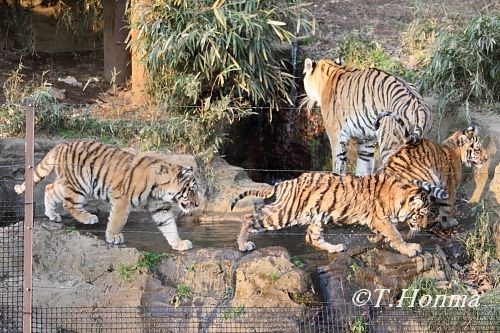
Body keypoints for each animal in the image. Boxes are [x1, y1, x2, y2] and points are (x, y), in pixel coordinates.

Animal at [14, 139, 197, 250]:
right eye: (192, 191)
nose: (197, 204)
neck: (160, 191)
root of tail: (62, 145)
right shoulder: (123, 200)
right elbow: (117, 220)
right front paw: (113, 237)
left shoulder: (160, 209)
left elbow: (169, 226)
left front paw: (179, 243)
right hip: (80, 185)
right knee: (69, 203)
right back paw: (89, 218)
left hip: (68, 183)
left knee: (49, 188)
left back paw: (52, 215)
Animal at [232, 172, 448, 255]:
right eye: (422, 214)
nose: (425, 226)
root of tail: (286, 182)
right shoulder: (381, 219)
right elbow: (395, 234)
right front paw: (409, 248)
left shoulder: (380, 221)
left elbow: (387, 235)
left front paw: (375, 239)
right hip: (285, 213)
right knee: (248, 217)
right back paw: (243, 245)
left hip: (314, 217)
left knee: (312, 237)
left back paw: (335, 248)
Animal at [302, 58, 432, 175]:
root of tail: (418, 104)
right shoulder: (366, 141)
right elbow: (363, 168)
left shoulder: (337, 137)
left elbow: (338, 167)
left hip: (390, 144)